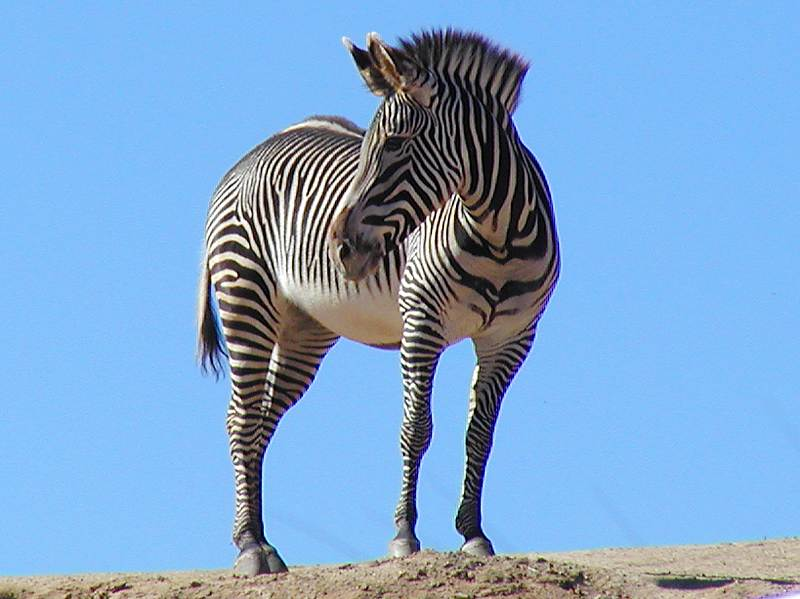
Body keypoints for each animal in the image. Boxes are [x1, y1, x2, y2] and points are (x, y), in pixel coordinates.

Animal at [198, 29, 560, 576]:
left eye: (394, 144)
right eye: (371, 145)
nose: (340, 249)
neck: (499, 236)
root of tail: (252, 152)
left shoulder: (512, 339)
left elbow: (479, 434)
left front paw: (473, 533)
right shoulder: (422, 322)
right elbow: (416, 428)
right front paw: (404, 534)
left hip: (305, 331)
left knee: (260, 421)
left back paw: (262, 540)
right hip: (245, 296)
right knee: (239, 418)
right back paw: (249, 546)